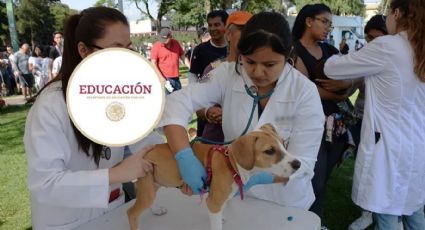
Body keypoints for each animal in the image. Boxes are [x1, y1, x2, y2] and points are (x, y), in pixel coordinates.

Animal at [127, 124, 300, 230]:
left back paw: (156, 209)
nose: (298, 164)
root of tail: (144, 151)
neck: (231, 164)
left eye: (284, 143)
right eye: (269, 151)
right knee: (131, 212)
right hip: (148, 187)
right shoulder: (214, 202)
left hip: (153, 183)